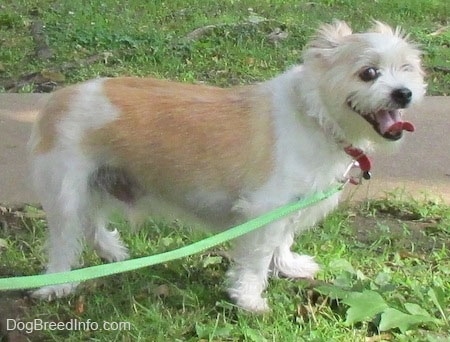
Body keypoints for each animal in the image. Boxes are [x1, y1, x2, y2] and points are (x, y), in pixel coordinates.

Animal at [29, 20, 426, 312]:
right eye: (368, 73)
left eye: (407, 69)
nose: (404, 93)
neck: (314, 116)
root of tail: (59, 97)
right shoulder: (264, 209)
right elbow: (257, 258)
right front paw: (248, 298)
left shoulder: (287, 207)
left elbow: (282, 241)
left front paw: (288, 266)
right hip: (67, 190)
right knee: (65, 238)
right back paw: (57, 284)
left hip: (99, 181)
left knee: (91, 222)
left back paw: (111, 252)